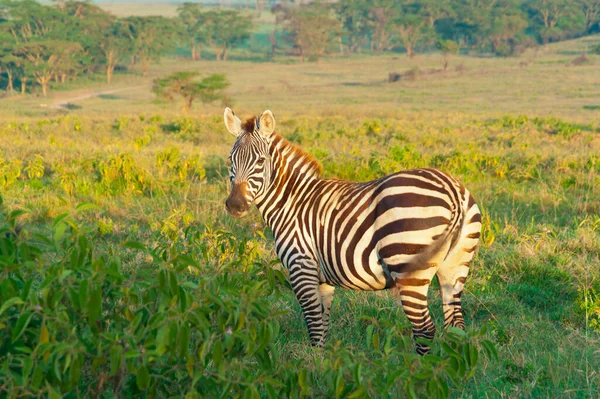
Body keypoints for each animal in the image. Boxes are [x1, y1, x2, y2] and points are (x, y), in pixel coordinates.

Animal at [223, 108, 480, 354]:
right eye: (230, 159)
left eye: (260, 161)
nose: (235, 205)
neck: (292, 203)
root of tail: (453, 190)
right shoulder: (323, 277)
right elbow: (322, 327)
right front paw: (321, 362)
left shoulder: (301, 267)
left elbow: (313, 324)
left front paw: (312, 365)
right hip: (455, 265)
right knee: (456, 324)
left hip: (408, 266)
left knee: (424, 328)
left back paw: (418, 369)